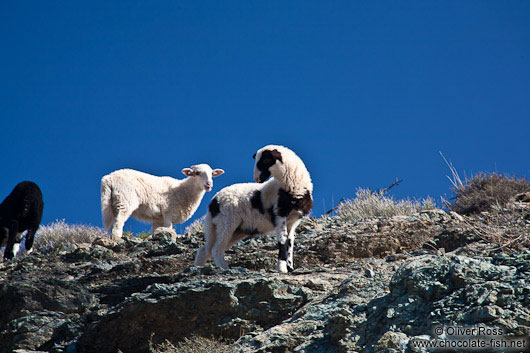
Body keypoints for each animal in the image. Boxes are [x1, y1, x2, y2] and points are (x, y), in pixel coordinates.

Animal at [194, 144, 312, 274]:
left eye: (266, 159)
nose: (256, 178)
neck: (291, 187)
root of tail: (213, 202)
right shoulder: (279, 215)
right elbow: (282, 241)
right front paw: (282, 268)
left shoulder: (293, 221)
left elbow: (290, 242)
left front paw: (290, 267)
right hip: (226, 223)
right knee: (216, 249)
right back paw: (224, 268)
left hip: (233, 230)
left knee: (205, 250)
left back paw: (199, 267)